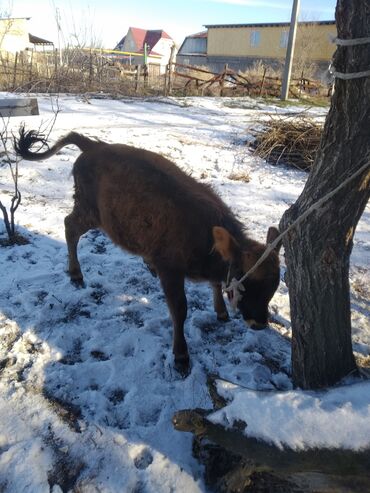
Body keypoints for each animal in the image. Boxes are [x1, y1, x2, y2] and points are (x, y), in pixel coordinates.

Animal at [13, 129, 280, 374]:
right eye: (247, 280)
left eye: (274, 285)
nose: (259, 323)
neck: (204, 235)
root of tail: (94, 145)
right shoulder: (170, 269)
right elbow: (180, 309)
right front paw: (181, 356)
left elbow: (215, 284)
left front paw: (221, 312)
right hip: (90, 211)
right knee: (70, 227)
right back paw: (77, 275)